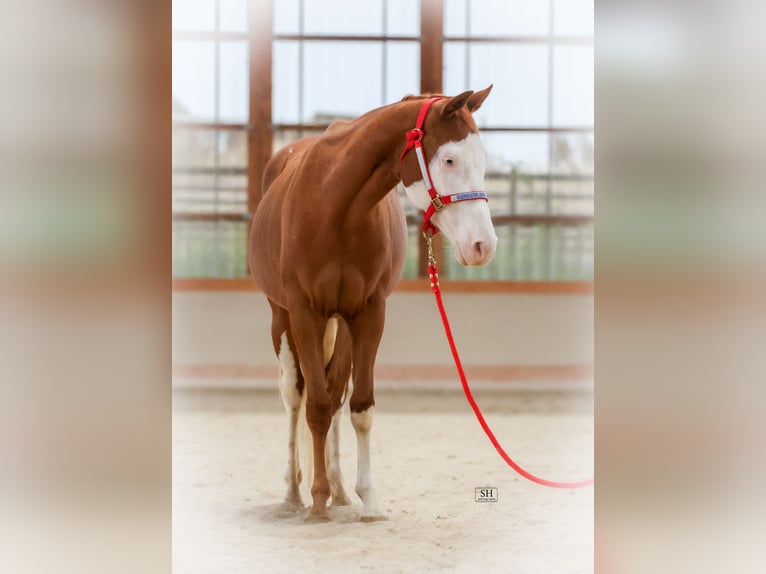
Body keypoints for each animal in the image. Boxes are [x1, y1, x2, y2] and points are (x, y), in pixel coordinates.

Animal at [248, 86, 497, 521]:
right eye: (449, 159)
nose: (483, 245)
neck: (336, 206)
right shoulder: (304, 313)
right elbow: (313, 406)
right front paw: (316, 501)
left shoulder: (369, 313)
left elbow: (359, 407)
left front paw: (368, 499)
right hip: (282, 320)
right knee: (295, 396)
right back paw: (295, 492)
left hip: (342, 325)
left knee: (335, 394)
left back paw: (339, 489)